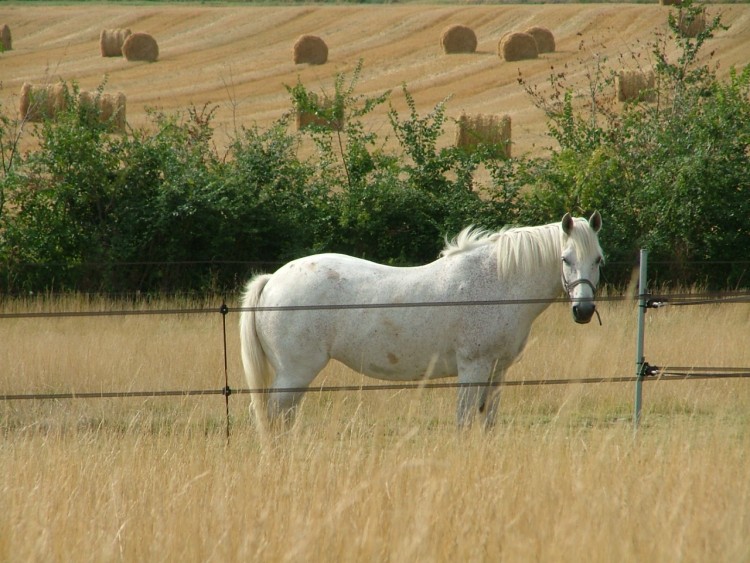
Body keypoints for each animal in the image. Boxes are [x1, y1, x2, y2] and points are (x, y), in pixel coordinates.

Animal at [241, 214, 604, 430]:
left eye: (599, 259)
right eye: (565, 259)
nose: (584, 311)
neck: (497, 282)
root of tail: (273, 279)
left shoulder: (497, 370)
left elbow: (487, 420)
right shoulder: (473, 367)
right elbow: (464, 419)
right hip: (294, 374)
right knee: (274, 419)